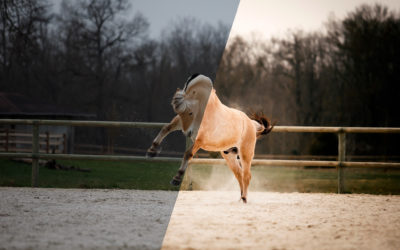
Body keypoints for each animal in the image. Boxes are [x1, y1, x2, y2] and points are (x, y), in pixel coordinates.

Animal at [145, 73, 274, 202]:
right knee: (239, 174)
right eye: (180, 113)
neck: (203, 111)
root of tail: (251, 124)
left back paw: (244, 199)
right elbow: (166, 128)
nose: (187, 133)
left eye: (190, 112)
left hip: (246, 154)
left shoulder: (200, 140)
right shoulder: (180, 122)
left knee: (247, 175)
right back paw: (240, 198)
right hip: (229, 155)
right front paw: (152, 151)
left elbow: (188, 154)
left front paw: (176, 178)